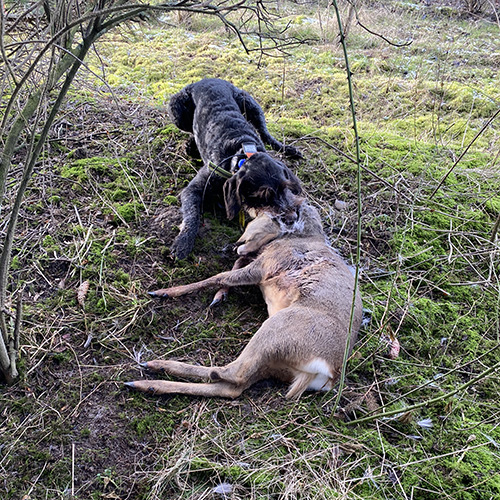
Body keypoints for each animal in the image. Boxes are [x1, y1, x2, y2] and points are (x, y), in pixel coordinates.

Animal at [126, 199, 362, 399]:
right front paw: (219, 296)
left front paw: (165, 291)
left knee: (233, 373)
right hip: (275, 364)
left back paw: (155, 367)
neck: (301, 236)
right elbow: (232, 268)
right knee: (233, 388)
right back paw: (148, 382)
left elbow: (219, 276)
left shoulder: (265, 266)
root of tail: (328, 374)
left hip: (276, 329)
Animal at [167, 78, 302, 259]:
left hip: (251, 105)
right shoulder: (193, 189)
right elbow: (192, 215)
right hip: (176, 110)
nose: (292, 218)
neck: (241, 152)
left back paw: (288, 148)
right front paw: (183, 242)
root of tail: (206, 80)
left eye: (284, 188)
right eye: (263, 196)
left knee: (265, 132)